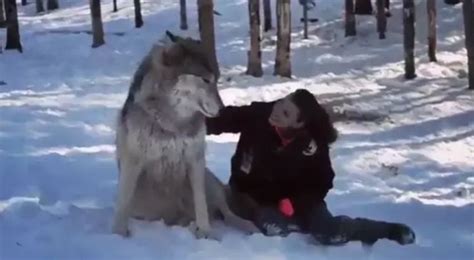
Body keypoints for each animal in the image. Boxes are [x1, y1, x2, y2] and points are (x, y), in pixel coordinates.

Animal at [111, 31, 258, 239]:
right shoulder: (133, 161)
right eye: (206, 80)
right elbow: (122, 204)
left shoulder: (195, 160)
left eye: (216, 80)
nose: (222, 110)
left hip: (209, 180)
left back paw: (247, 227)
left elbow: (201, 204)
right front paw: (118, 234)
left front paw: (205, 233)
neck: (172, 122)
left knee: (225, 212)